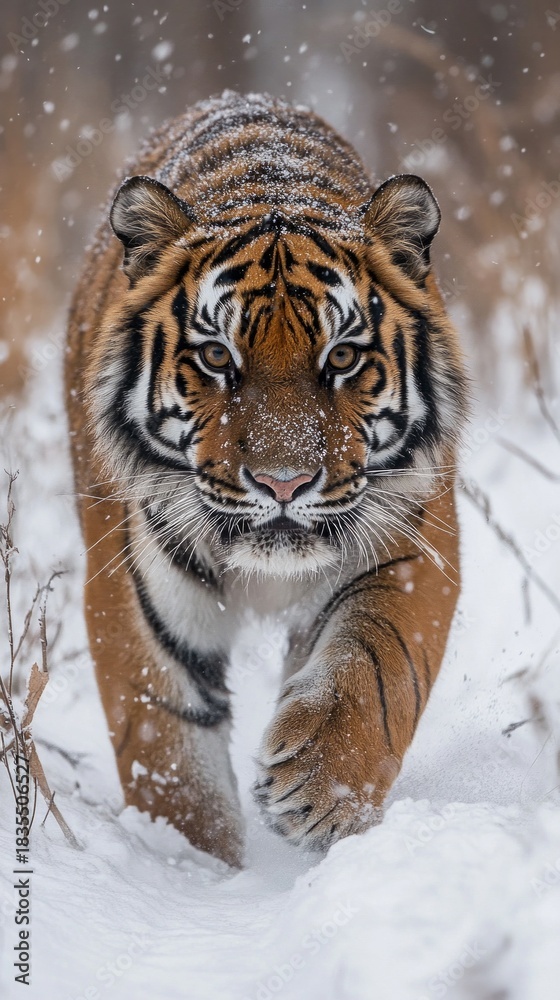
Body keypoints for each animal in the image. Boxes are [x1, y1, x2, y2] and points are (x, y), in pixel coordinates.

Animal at [66, 91, 467, 867]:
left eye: (342, 357)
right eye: (218, 357)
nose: (284, 484)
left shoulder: (414, 540)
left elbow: (378, 664)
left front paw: (320, 787)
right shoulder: (133, 591)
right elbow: (169, 754)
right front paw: (199, 867)